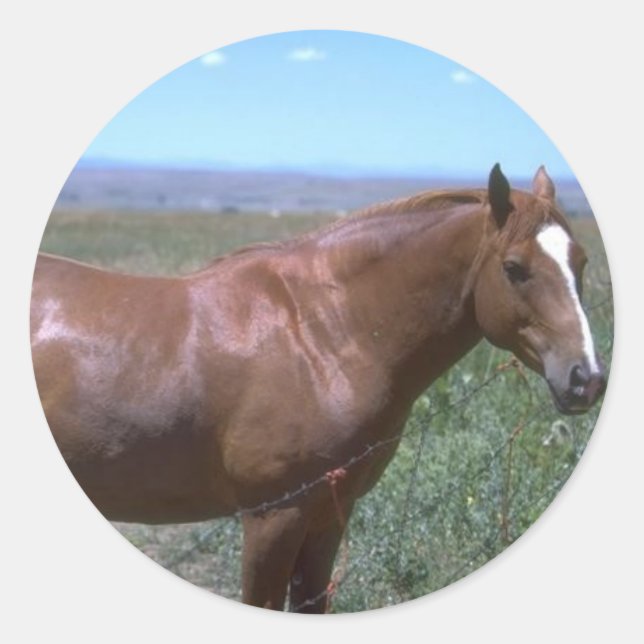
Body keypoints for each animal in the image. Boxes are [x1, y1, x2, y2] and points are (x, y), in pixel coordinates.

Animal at [30, 164, 606, 612]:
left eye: (580, 262)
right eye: (514, 268)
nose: (587, 377)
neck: (322, 334)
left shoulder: (330, 513)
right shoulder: (273, 517)